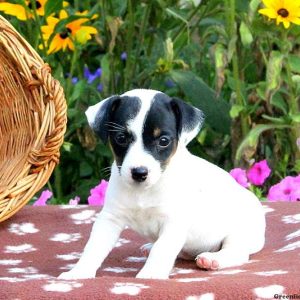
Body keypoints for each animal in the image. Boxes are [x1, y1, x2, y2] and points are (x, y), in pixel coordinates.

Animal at [58, 88, 264, 278]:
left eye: (163, 141)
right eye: (121, 138)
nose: (139, 172)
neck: (144, 191)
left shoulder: (173, 222)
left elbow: (162, 248)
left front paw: (151, 273)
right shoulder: (110, 218)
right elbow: (93, 247)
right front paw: (78, 272)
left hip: (238, 232)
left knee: (237, 252)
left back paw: (214, 259)